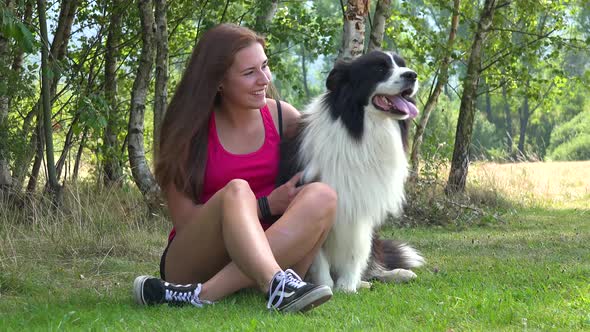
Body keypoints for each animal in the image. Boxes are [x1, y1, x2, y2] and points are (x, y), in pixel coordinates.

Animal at [280, 50, 426, 292]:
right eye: (379, 68)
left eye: (402, 65)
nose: (412, 75)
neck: (361, 129)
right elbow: (318, 255)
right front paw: (327, 285)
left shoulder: (361, 202)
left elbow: (356, 248)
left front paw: (347, 286)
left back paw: (392, 275)